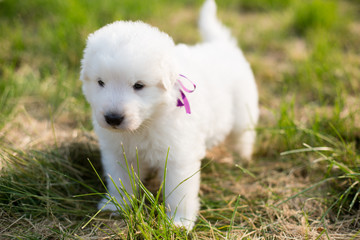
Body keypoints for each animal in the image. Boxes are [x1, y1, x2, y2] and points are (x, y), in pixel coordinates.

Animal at [80, 0, 258, 230]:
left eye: (139, 85)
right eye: (101, 82)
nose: (113, 118)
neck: (147, 123)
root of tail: (223, 45)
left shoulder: (178, 157)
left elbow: (179, 192)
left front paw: (179, 222)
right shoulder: (117, 152)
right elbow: (120, 179)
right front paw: (117, 204)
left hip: (244, 112)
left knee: (243, 136)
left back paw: (242, 157)